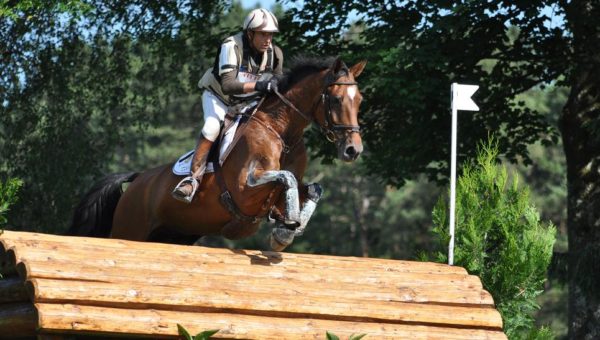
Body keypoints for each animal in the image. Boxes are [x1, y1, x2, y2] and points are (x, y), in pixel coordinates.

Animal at [67, 56, 366, 252]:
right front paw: (284, 231)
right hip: (130, 228)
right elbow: (286, 178)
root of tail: (139, 178)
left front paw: (291, 225)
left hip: (173, 235)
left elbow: (313, 188)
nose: (353, 150)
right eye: (336, 99)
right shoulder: (245, 187)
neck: (283, 133)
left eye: (360, 100)